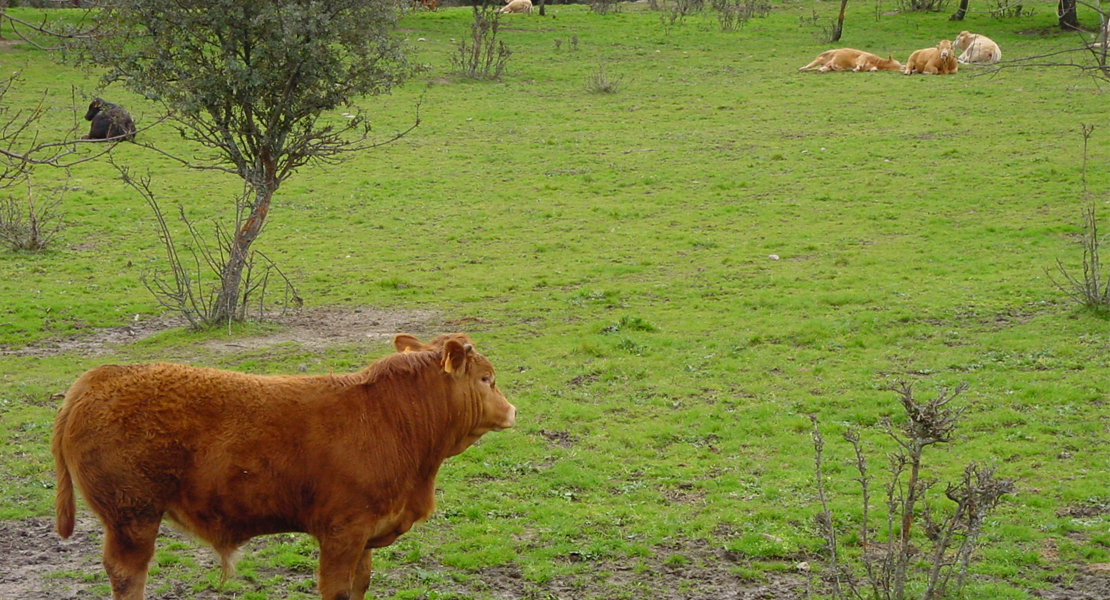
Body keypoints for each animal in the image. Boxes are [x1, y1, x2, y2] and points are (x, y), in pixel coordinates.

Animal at [52, 333, 516, 600]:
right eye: (486, 379)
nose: (512, 410)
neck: (389, 418)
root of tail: (98, 377)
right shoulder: (341, 532)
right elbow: (337, 589)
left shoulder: (366, 534)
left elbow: (360, 584)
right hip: (132, 515)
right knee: (127, 574)